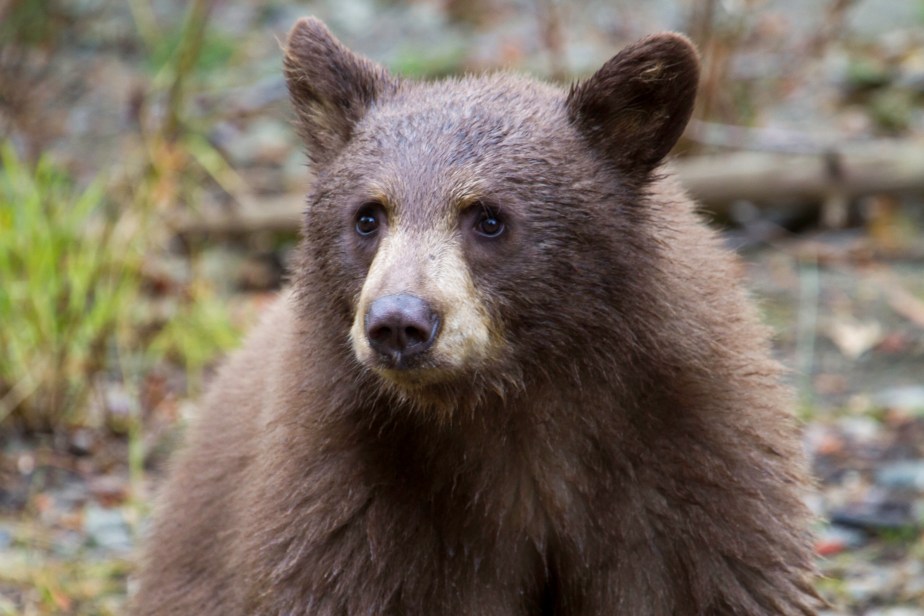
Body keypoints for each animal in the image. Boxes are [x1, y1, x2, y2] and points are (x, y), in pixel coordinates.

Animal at [133, 17, 821, 616]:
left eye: (488, 217)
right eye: (368, 215)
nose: (399, 322)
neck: (510, 412)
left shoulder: (688, 466)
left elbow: (707, 577)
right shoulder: (351, 495)